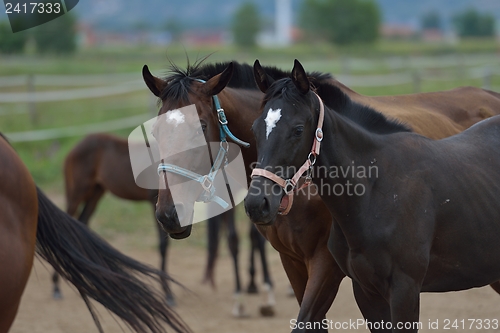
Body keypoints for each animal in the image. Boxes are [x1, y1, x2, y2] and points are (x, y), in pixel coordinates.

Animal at [0, 132, 188, 332]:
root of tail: (76, 146)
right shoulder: (156, 204)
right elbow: (163, 245)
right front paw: (168, 294)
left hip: (95, 194)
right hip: (76, 194)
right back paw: (57, 287)